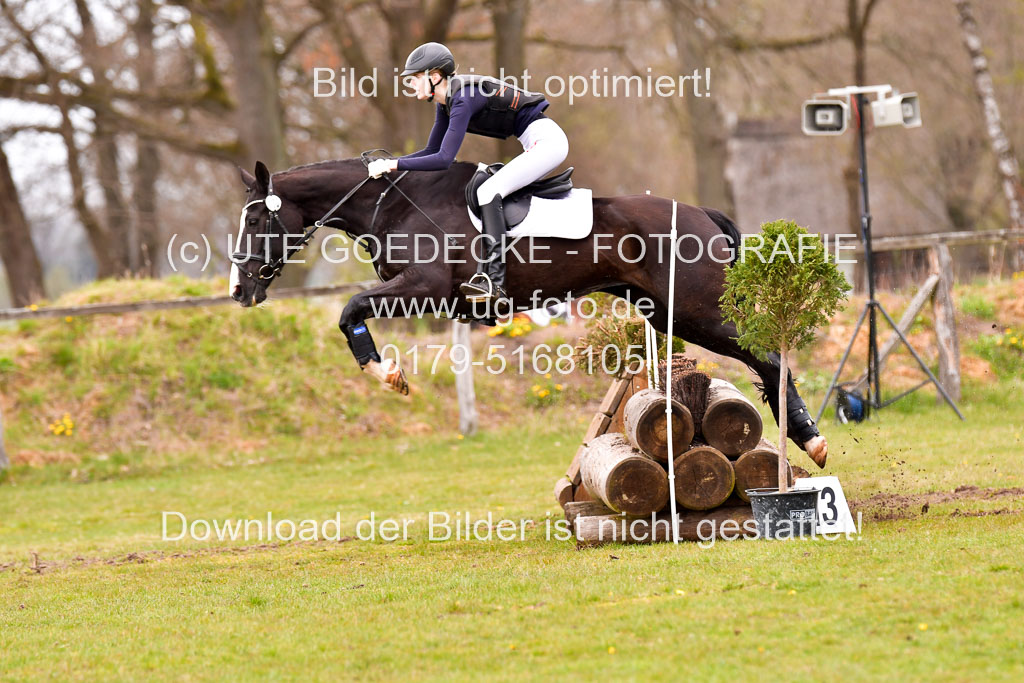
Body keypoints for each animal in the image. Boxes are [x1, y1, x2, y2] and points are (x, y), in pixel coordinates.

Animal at [228, 156, 827, 464]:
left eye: (255, 221)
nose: (239, 289)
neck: (391, 204)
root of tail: (701, 211)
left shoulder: (425, 286)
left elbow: (349, 309)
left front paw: (387, 373)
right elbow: (350, 312)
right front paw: (388, 373)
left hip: (697, 309)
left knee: (768, 356)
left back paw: (810, 440)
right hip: (668, 314)